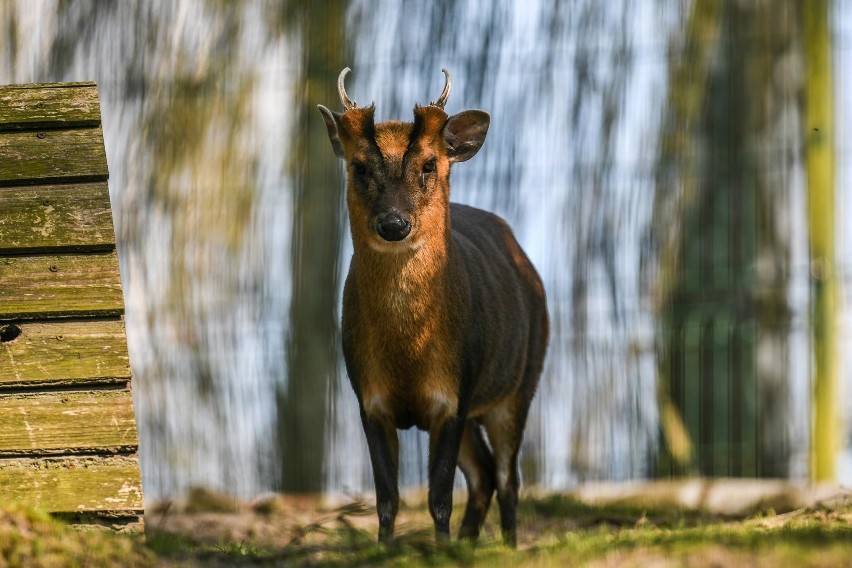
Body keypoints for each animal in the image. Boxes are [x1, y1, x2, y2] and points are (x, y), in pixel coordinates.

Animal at [316, 67, 548, 544]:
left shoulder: (455, 396)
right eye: (358, 166)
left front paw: (441, 549)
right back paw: (470, 542)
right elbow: (388, 499)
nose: (393, 223)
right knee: (483, 475)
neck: (410, 354)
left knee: (507, 477)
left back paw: (509, 545)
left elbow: (438, 496)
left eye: (428, 164)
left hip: (521, 383)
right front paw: (388, 549)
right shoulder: (368, 397)